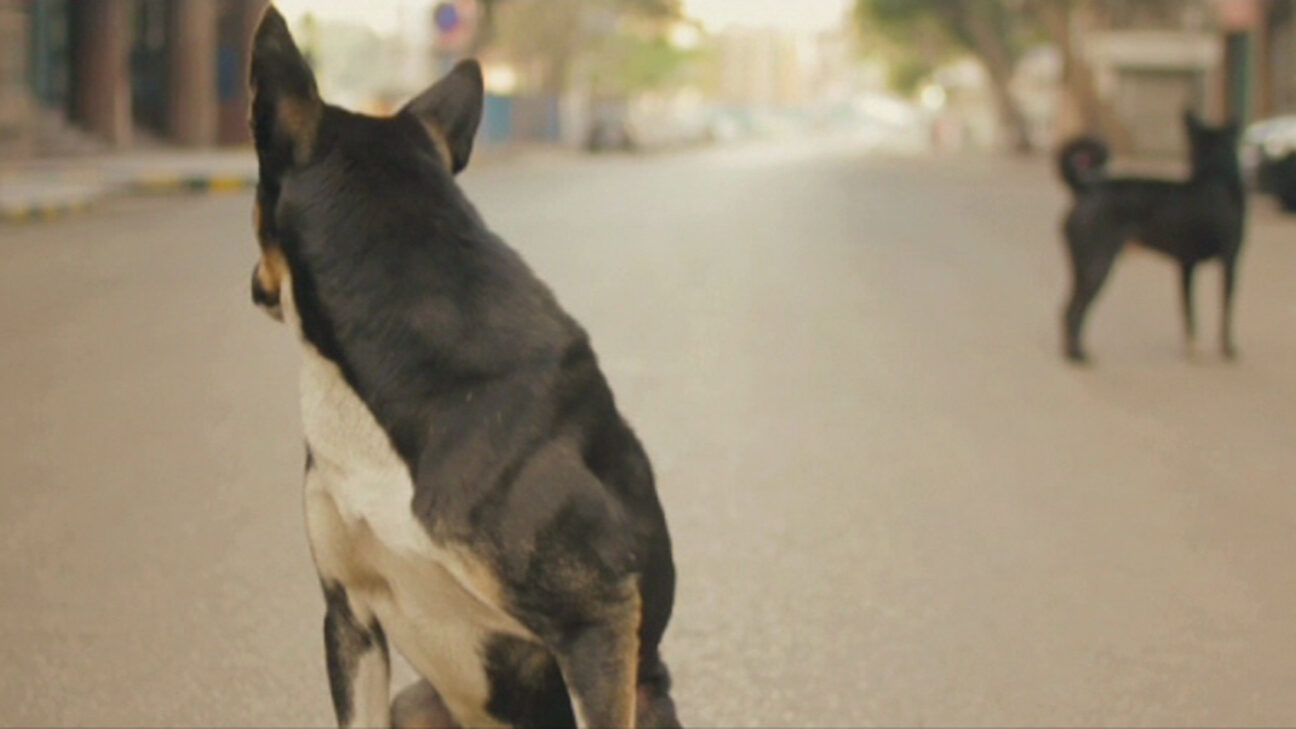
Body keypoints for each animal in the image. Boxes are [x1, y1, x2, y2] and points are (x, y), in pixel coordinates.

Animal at [1056, 111, 1246, 364]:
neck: (1215, 177)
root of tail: (1086, 189)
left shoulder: (1186, 266)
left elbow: (1189, 311)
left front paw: (1192, 348)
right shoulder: (1230, 261)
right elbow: (1226, 311)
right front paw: (1228, 349)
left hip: (1081, 267)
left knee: (1067, 309)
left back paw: (1071, 351)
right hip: (1097, 266)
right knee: (1075, 311)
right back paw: (1078, 355)